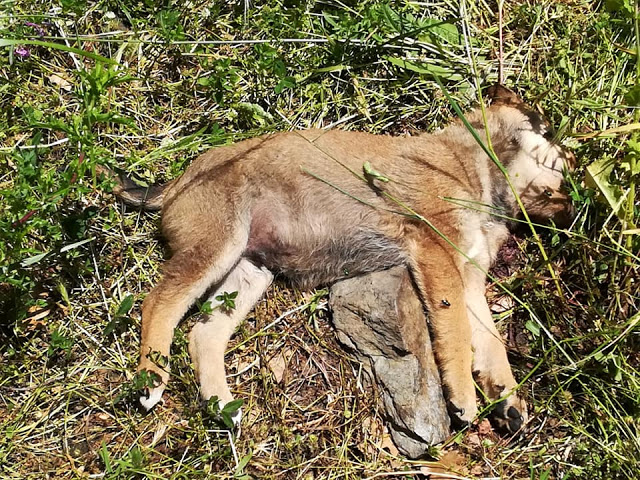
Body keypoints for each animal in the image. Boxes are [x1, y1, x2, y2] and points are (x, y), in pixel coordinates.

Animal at [104, 84, 576, 434]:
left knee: (204, 334)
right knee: (158, 304)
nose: (576, 209)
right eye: (554, 145)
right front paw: (462, 395)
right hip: (215, 247)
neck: (473, 163)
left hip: (248, 272)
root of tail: (175, 181)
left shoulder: (470, 278)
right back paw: (151, 378)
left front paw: (506, 396)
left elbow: (491, 342)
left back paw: (222, 405)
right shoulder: (438, 255)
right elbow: (456, 331)